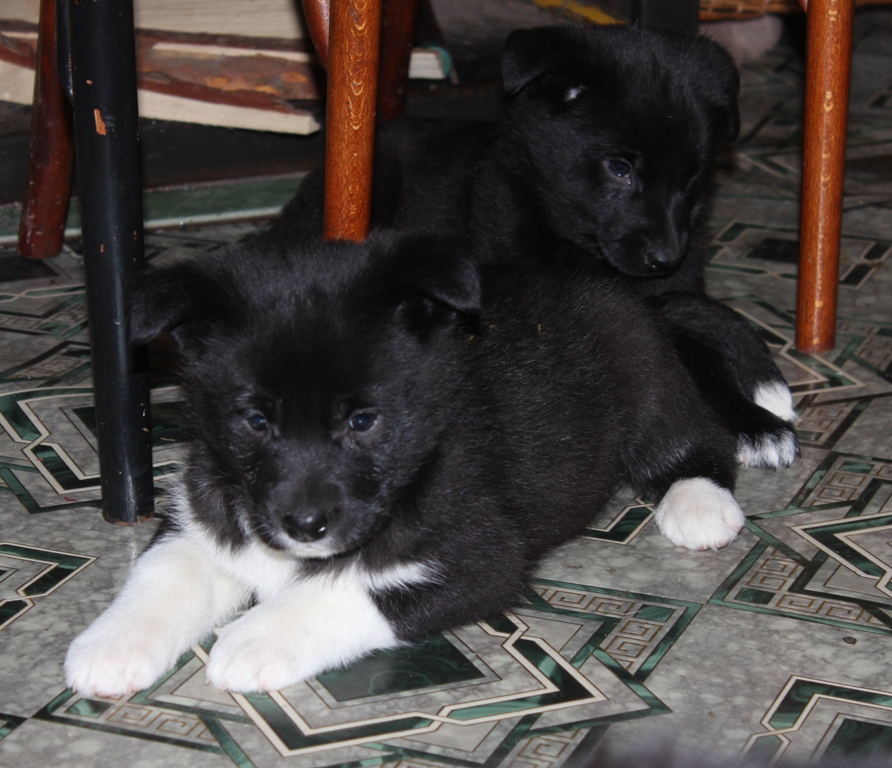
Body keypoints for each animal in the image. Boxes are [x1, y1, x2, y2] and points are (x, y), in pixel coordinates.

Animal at [65, 233, 745, 696]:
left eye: (363, 421)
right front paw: (112, 644)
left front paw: (253, 638)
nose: (304, 527)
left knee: (697, 438)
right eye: (256, 421)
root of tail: (640, 300)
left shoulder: (477, 555)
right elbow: (162, 570)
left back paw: (700, 503)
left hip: (643, 371)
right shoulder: (207, 513)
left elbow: (349, 586)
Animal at [274, 24, 799, 471]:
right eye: (619, 167)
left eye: (692, 177)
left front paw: (753, 412)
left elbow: (694, 336)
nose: (666, 259)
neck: (567, 239)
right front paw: (755, 421)